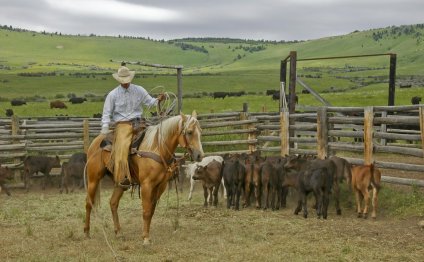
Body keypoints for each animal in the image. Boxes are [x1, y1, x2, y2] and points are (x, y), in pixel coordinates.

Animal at [84, 110, 204, 244]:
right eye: (189, 132)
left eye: (200, 131)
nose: (200, 155)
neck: (158, 148)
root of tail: (95, 142)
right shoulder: (147, 185)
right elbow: (146, 211)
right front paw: (145, 238)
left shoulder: (160, 186)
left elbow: (151, 210)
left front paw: (146, 235)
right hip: (93, 179)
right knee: (88, 203)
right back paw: (87, 232)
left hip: (120, 182)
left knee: (113, 203)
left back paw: (118, 233)